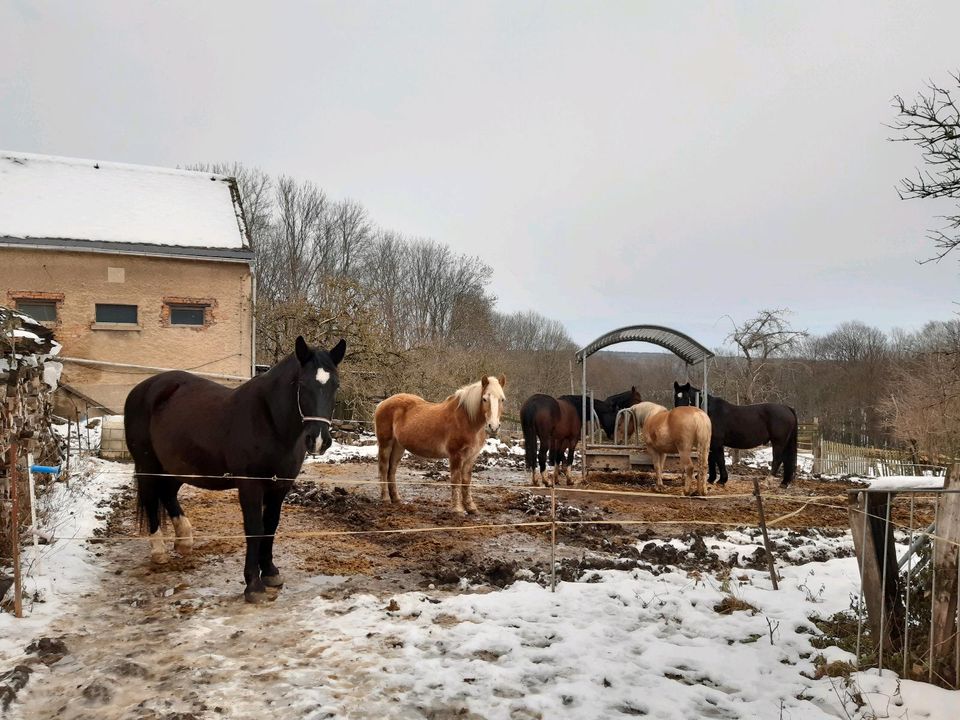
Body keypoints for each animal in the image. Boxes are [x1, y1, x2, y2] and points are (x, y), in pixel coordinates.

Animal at [125, 336, 344, 600]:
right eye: (302, 383)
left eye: (336, 385)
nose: (319, 440)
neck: (269, 421)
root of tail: (142, 389)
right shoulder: (250, 484)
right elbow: (254, 528)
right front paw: (253, 584)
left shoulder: (280, 485)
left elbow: (271, 525)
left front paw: (270, 572)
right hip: (148, 464)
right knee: (150, 498)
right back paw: (159, 551)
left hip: (177, 465)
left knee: (167, 494)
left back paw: (184, 541)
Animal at [376, 376, 510, 512]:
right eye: (484, 399)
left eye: (502, 399)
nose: (493, 427)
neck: (467, 420)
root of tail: (382, 403)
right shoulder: (456, 455)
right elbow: (456, 480)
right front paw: (457, 509)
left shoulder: (471, 457)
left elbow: (466, 480)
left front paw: (471, 508)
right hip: (385, 444)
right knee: (384, 468)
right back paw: (385, 499)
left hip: (398, 446)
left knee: (392, 470)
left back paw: (396, 500)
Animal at [676, 380, 804, 486]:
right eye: (676, 397)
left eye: (687, 397)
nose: (679, 417)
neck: (710, 412)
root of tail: (788, 408)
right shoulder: (710, 442)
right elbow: (711, 459)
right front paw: (710, 479)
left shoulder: (717, 443)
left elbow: (720, 460)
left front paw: (722, 480)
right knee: (787, 459)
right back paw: (784, 482)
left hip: (778, 442)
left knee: (778, 459)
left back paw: (767, 481)